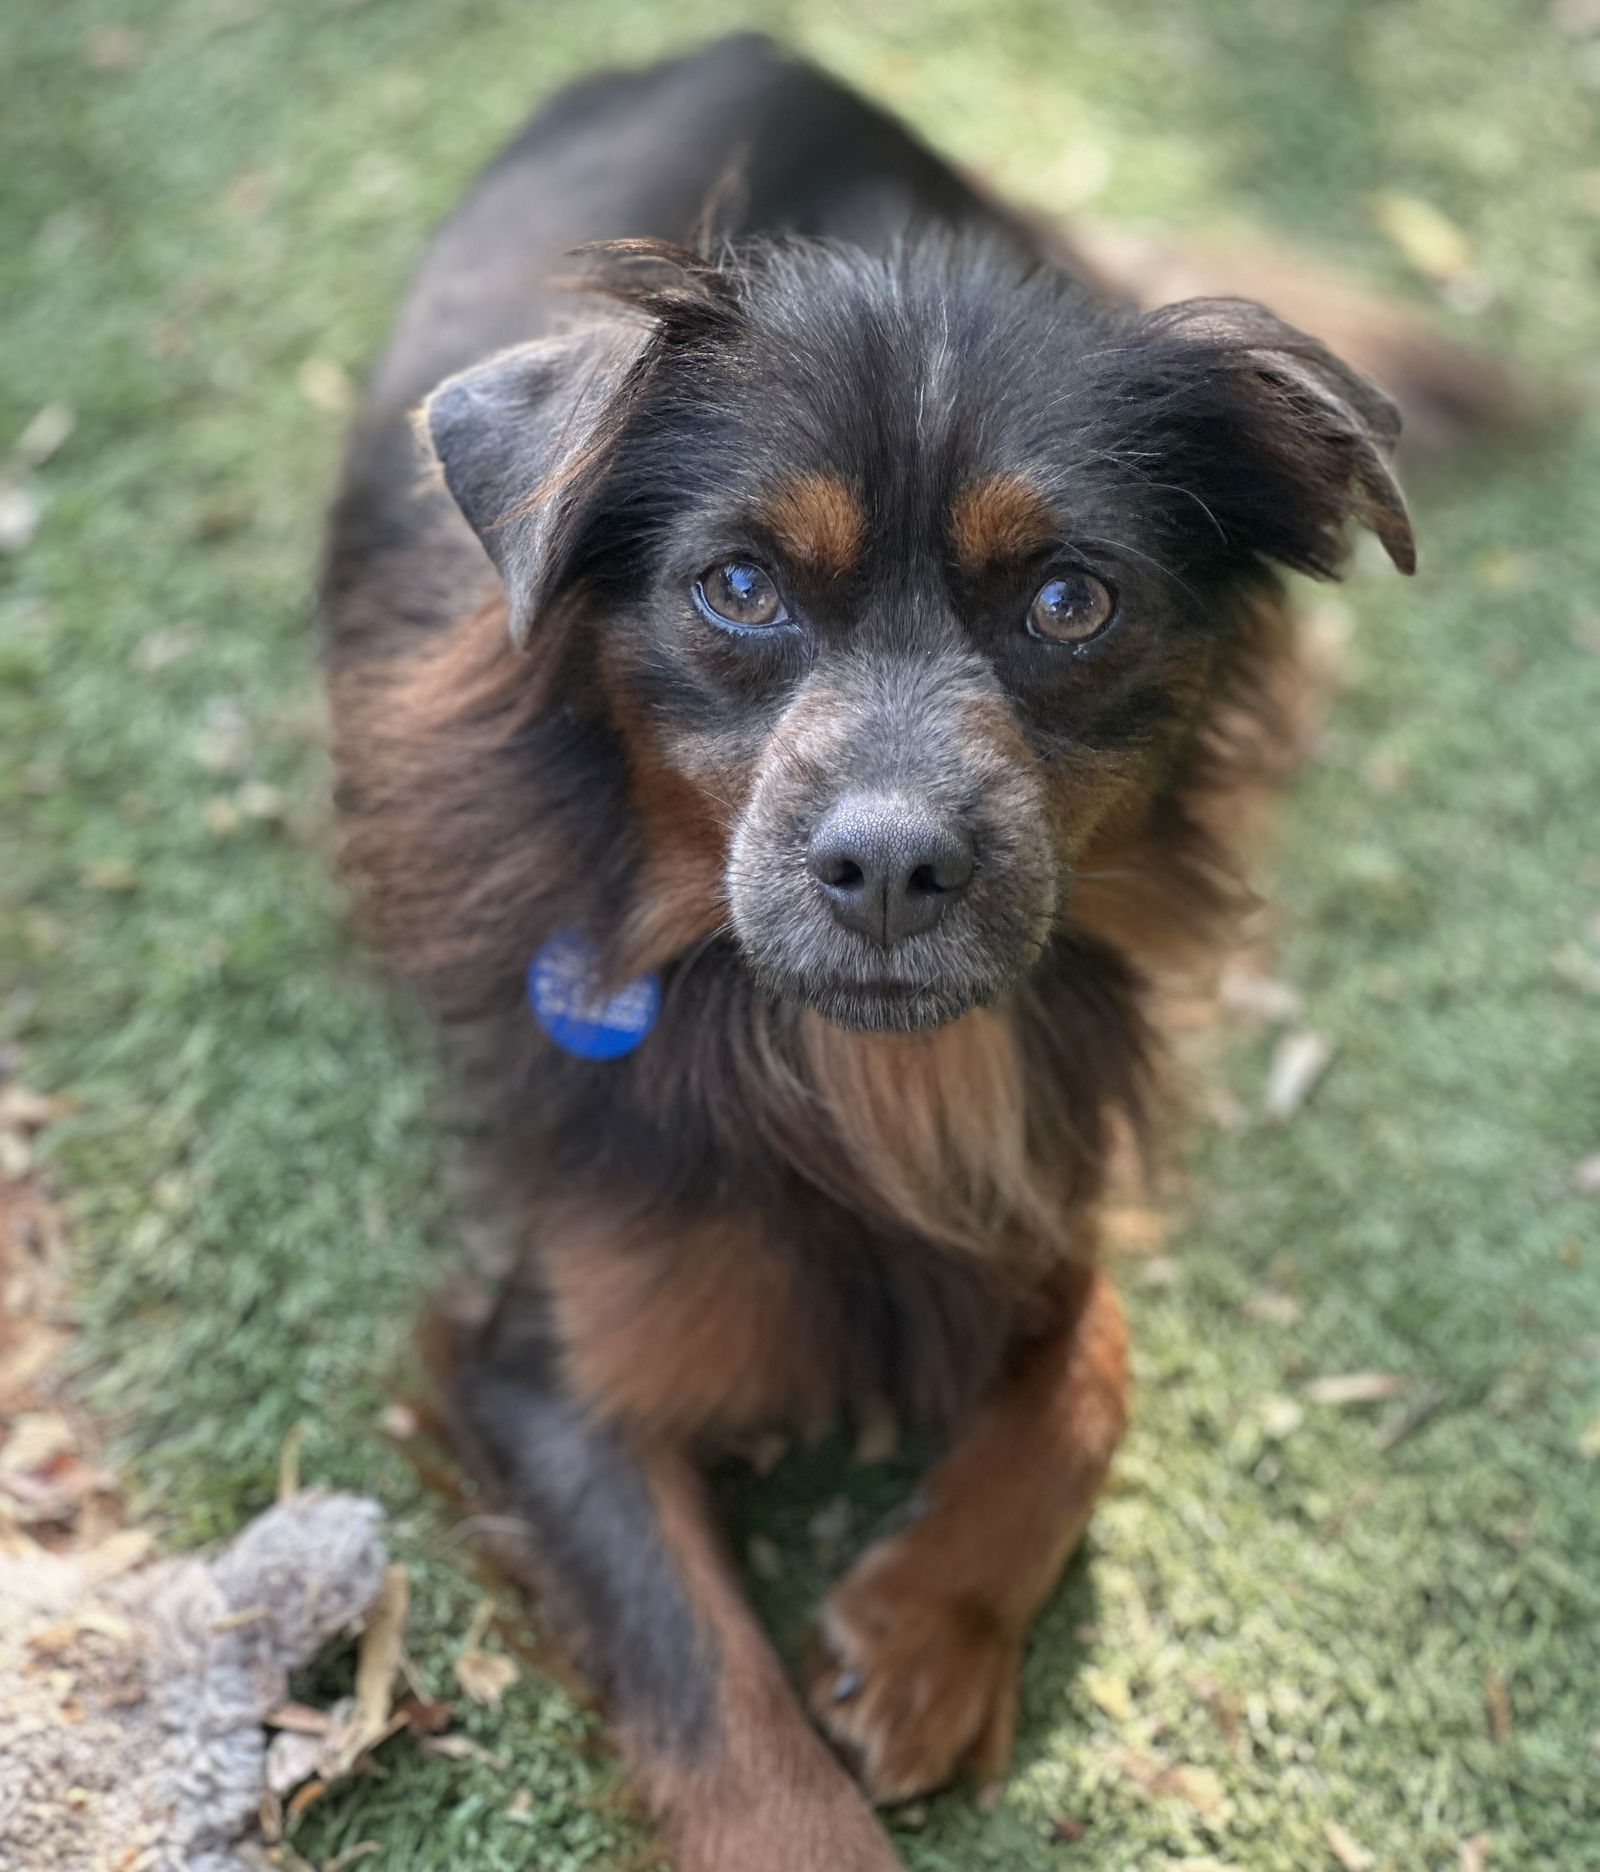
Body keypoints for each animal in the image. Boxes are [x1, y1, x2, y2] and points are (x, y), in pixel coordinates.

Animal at [325, 32, 1429, 1872]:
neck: (855, 1070)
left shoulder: (1043, 1192)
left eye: (1069, 601)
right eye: (741, 586)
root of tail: (737, 44)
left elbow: (1097, 1365)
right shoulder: (551, 1380)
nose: (896, 866)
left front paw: (922, 1639)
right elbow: (734, 1724)